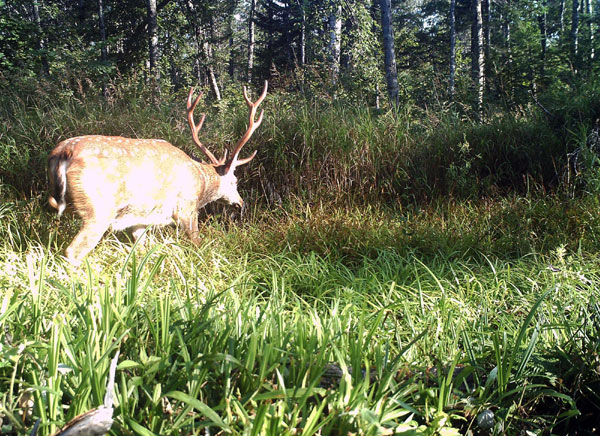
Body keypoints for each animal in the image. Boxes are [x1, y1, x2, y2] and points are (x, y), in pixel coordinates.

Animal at [48, 80, 268, 268]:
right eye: (234, 181)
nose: (240, 203)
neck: (201, 182)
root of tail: (63, 152)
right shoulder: (186, 208)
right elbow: (197, 243)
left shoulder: (139, 219)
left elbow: (142, 250)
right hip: (99, 209)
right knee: (73, 251)